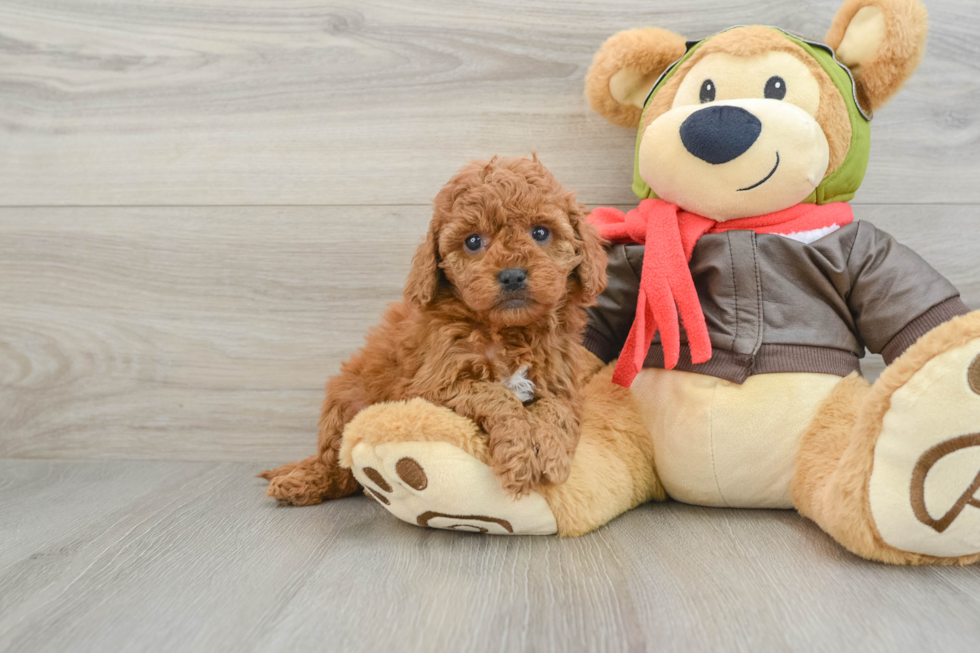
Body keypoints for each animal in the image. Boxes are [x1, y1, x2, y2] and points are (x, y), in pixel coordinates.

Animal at [260, 157, 604, 504]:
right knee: (338, 466)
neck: (507, 330)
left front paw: (551, 453)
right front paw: (520, 459)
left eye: (541, 232)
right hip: (346, 399)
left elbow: (557, 409)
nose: (512, 275)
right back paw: (302, 482)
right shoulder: (431, 386)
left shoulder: (559, 379)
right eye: (473, 241)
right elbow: (498, 396)